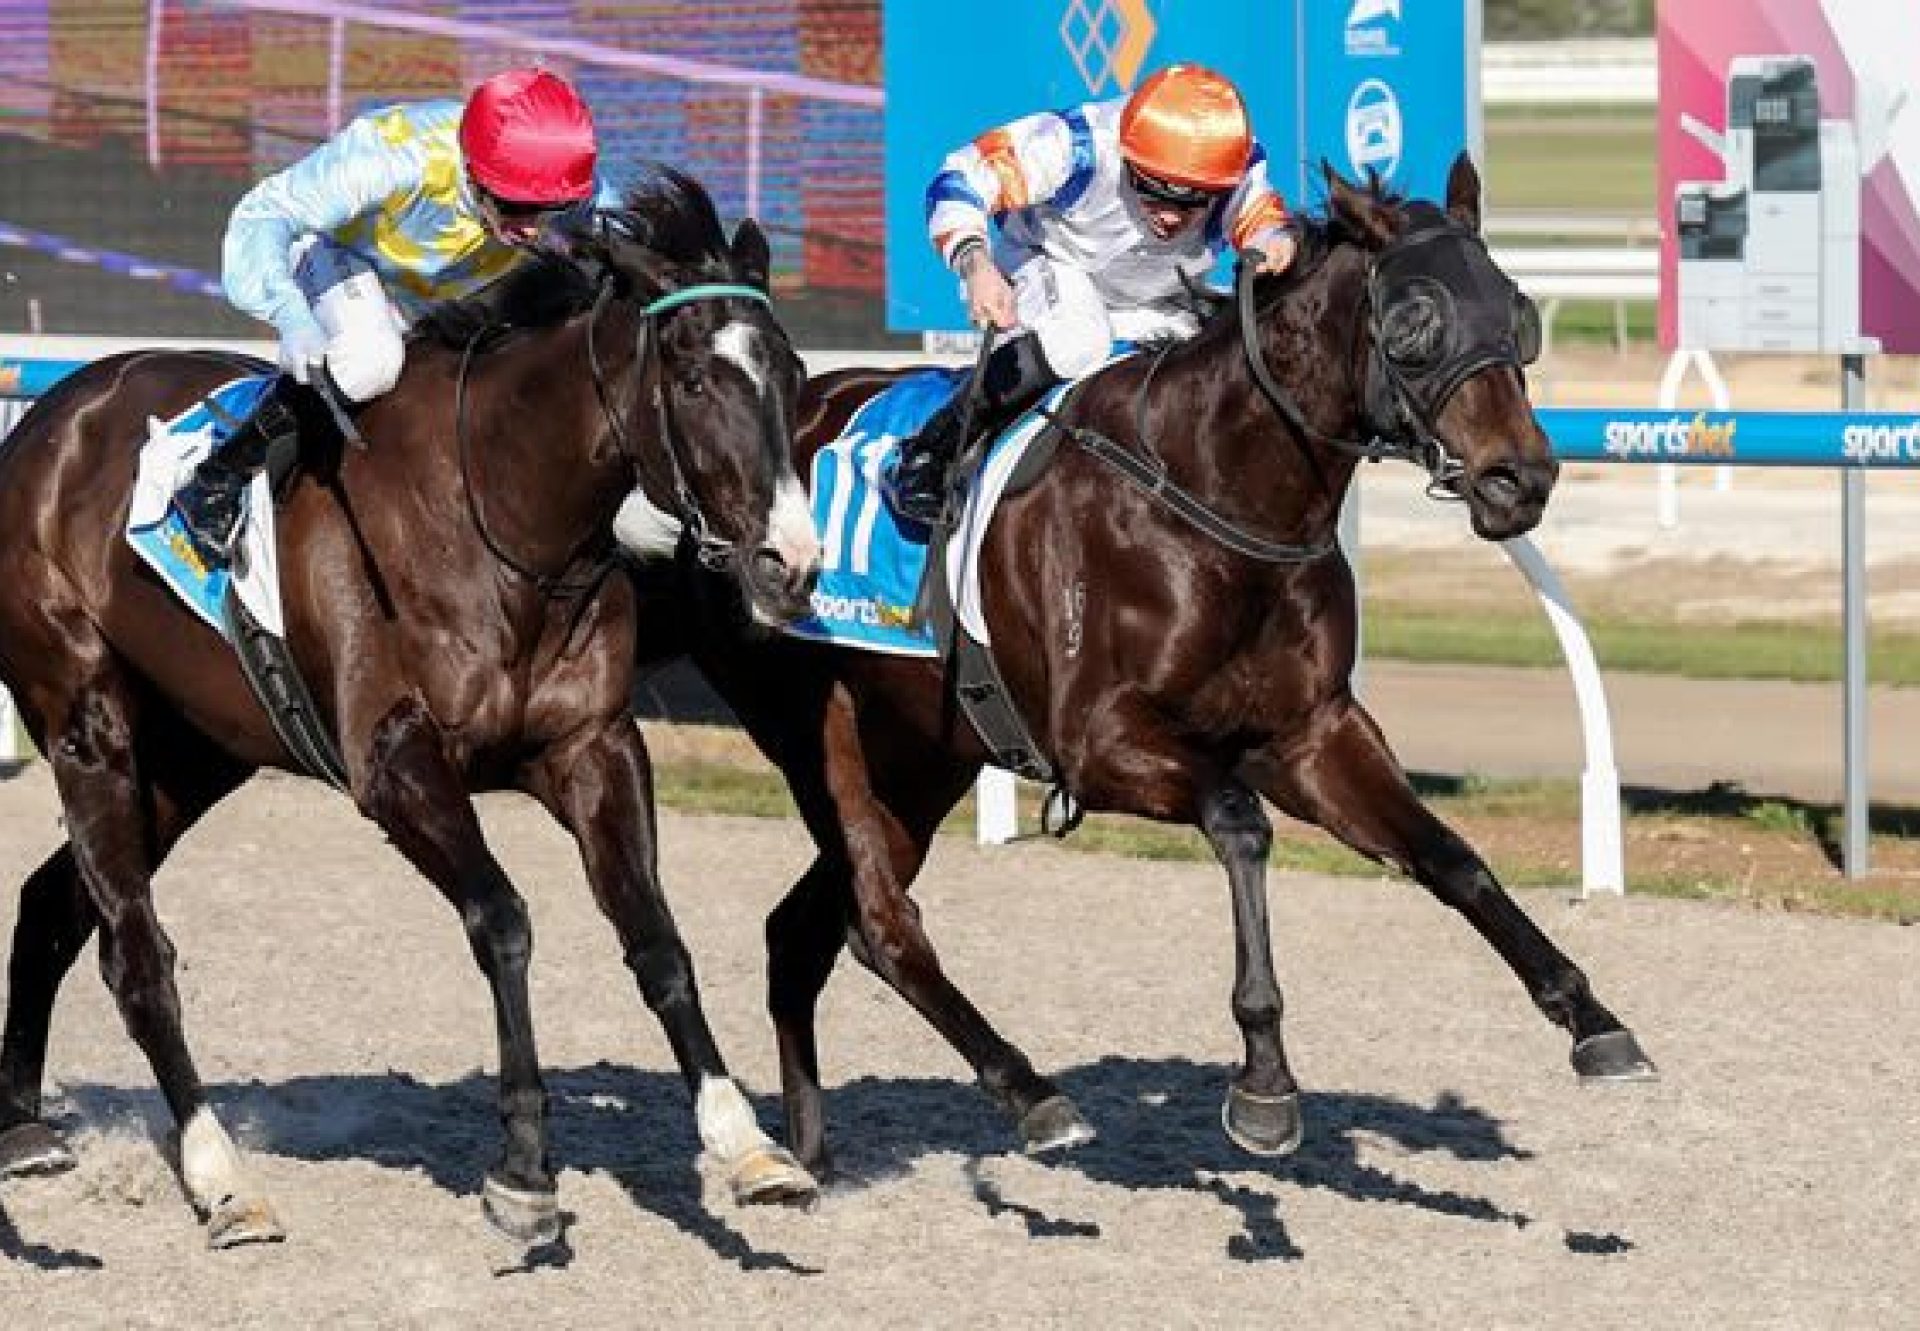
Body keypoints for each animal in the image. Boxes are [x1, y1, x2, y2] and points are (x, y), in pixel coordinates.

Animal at [0, 170, 817, 1244]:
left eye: (791, 373)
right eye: (692, 381)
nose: (792, 564)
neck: (505, 518)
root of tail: (49, 416)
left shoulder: (592, 747)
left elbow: (658, 938)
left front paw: (746, 1142)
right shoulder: (394, 762)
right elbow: (503, 920)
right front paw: (524, 1169)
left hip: (189, 756)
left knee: (51, 907)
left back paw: (21, 1128)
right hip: (87, 726)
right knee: (135, 953)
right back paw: (221, 1175)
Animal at [652, 150, 1658, 1175]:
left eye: (1516, 311)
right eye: (1415, 323)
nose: (1519, 478)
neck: (1219, 496)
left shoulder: (1313, 733)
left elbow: (1452, 857)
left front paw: (1591, 1016)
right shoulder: (1101, 743)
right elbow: (1240, 824)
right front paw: (1264, 1080)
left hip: (922, 756)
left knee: (802, 932)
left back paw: (810, 1158)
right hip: (824, 734)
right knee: (880, 924)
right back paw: (1029, 1097)